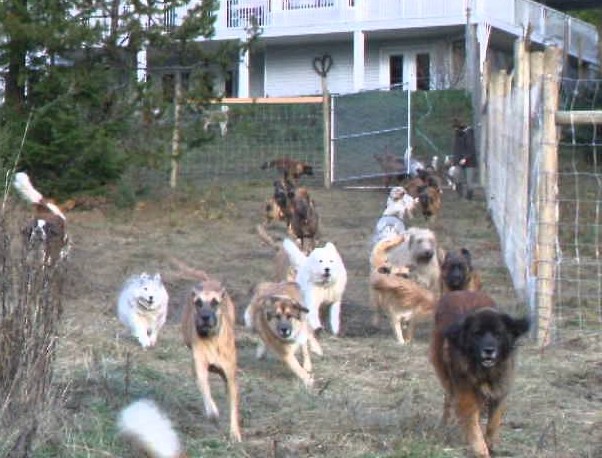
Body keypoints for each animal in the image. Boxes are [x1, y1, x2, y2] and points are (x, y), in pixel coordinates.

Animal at [171, 260, 239, 442]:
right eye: (199, 303)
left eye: (215, 302)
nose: (205, 317)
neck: (212, 340)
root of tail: (208, 280)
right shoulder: (201, 368)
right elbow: (205, 390)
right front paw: (213, 412)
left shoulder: (230, 377)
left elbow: (233, 406)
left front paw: (235, 433)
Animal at [428, 292, 528, 458]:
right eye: (477, 334)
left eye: (498, 334)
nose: (489, 350)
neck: (485, 372)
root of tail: (460, 292)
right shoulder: (466, 397)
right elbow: (474, 429)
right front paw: (481, 451)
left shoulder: (499, 394)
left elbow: (493, 423)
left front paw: (490, 444)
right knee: (448, 400)